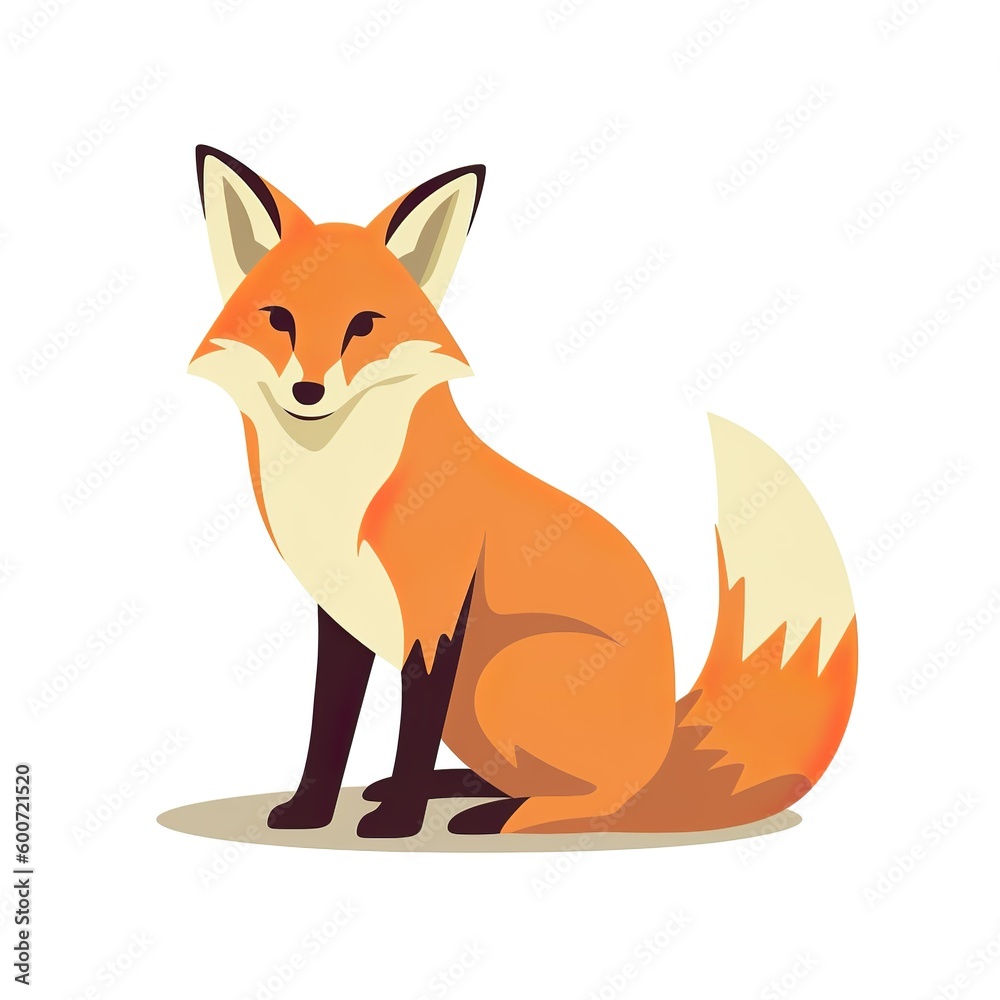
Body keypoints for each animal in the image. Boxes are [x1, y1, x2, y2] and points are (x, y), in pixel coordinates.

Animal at [187, 145, 858, 837]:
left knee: (604, 801)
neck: (344, 491)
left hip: (501, 676)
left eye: (364, 324)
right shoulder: (344, 613)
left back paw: (491, 815)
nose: (308, 391)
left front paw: (400, 821)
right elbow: (329, 725)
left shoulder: (435, 616)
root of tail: (669, 746)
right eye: (279, 319)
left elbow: (411, 728)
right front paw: (311, 810)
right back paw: (457, 790)